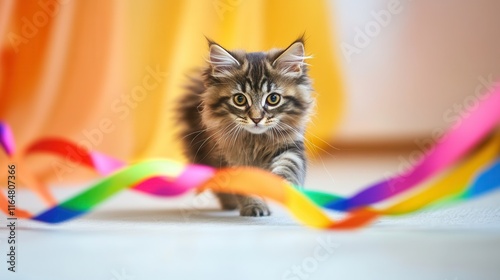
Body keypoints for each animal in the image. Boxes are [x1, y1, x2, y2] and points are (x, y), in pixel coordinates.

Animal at [178, 37, 314, 217]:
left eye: (273, 99)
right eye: (240, 99)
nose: (256, 118)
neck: (256, 140)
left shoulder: (290, 147)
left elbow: (288, 166)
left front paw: (283, 187)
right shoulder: (231, 158)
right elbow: (244, 187)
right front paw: (254, 206)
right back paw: (230, 204)